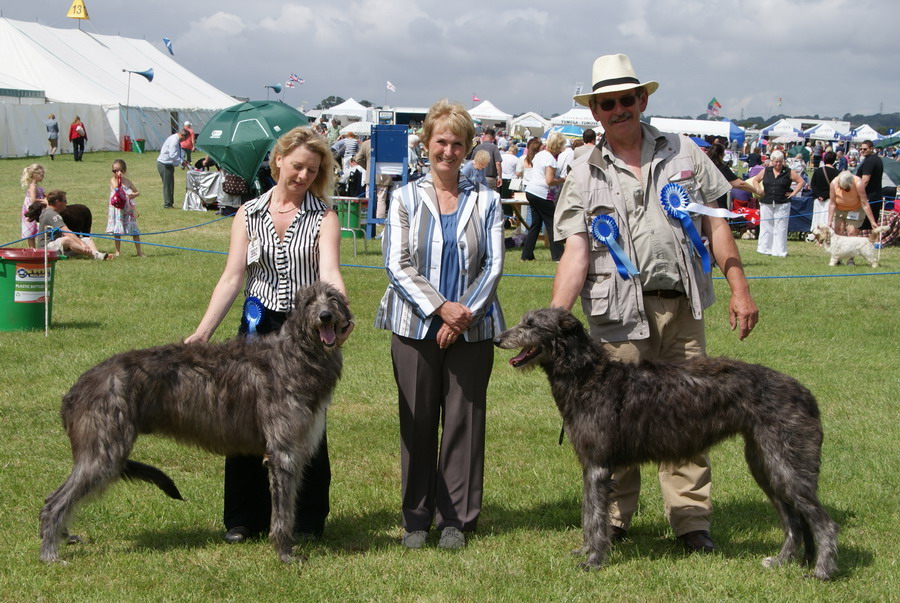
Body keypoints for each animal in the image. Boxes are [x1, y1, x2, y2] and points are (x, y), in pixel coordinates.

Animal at [41, 282, 352, 568]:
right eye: (309, 301)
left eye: (333, 299)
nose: (325, 316)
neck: (296, 353)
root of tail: (76, 390)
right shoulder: (283, 452)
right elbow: (282, 513)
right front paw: (286, 554)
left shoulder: (294, 450)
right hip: (103, 451)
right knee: (54, 502)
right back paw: (50, 554)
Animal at [492, 306, 836, 580]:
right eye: (523, 320)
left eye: (532, 325)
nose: (497, 338)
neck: (588, 376)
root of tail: (806, 393)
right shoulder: (592, 466)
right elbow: (591, 514)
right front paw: (585, 551)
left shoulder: (599, 467)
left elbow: (595, 516)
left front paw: (594, 560)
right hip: (764, 464)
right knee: (793, 520)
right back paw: (780, 561)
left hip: (787, 464)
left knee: (823, 522)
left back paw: (821, 572)